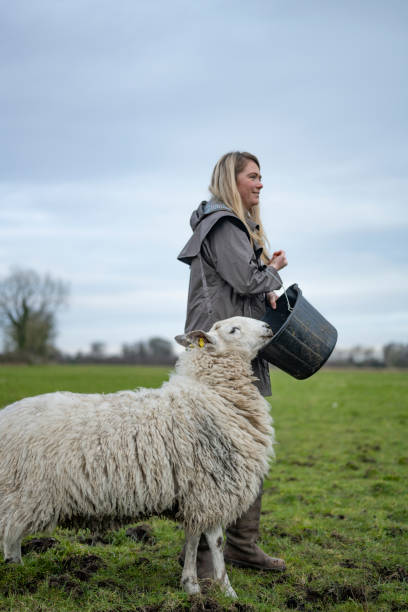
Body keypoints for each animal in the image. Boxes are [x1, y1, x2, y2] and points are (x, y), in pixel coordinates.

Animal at [0, 316, 276, 596]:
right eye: (234, 330)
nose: (268, 326)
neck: (211, 392)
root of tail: (6, 415)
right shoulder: (209, 488)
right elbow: (213, 541)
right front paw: (216, 589)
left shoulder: (196, 493)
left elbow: (195, 538)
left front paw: (202, 587)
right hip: (22, 494)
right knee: (10, 541)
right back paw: (16, 575)